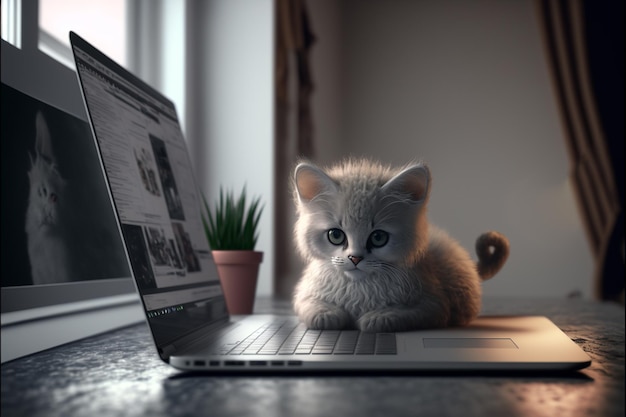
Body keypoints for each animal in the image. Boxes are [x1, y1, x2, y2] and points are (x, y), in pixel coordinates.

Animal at [292, 159, 508, 332]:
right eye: (335, 235)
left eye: (378, 238)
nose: (355, 258)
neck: (359, 289)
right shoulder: (305, 294)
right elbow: (313, 309)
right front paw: (329, 314)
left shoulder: (433, 306)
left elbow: (400, 315)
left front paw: (376, 317)